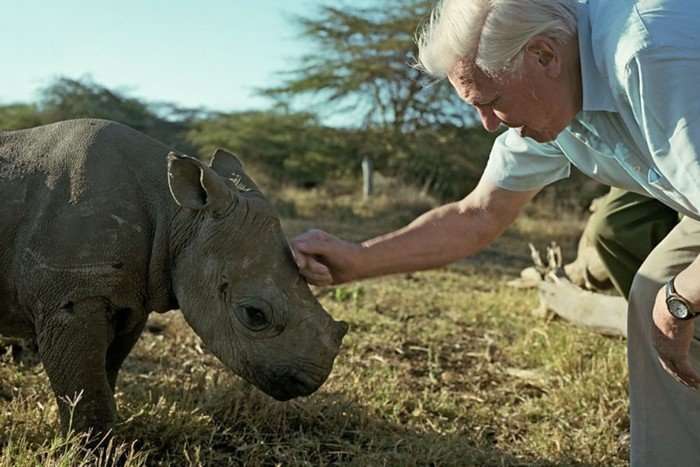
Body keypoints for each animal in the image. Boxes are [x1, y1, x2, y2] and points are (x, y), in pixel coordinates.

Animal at [0, 119, 348, 434]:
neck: (177, 216)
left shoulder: (131, 299)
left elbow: (106, 372)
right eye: (254, 315)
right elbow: (85, 388)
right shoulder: (72, 300)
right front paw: (94, 449)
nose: (314, 379)